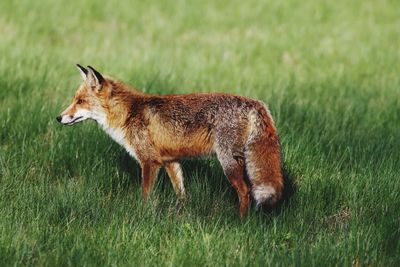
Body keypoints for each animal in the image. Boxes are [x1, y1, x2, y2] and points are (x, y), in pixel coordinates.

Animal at [56, 65, 284, 218]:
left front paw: (143, 214)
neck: (128, 114)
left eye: (80, 101)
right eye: (75, 100)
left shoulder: (149, 162)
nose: (59, 118)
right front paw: (183, 214)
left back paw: (241, 221)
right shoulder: (171, 162)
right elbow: (181, 193)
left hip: (228, 161)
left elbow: (145, 194)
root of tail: (256, 103)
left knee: (245, 192)